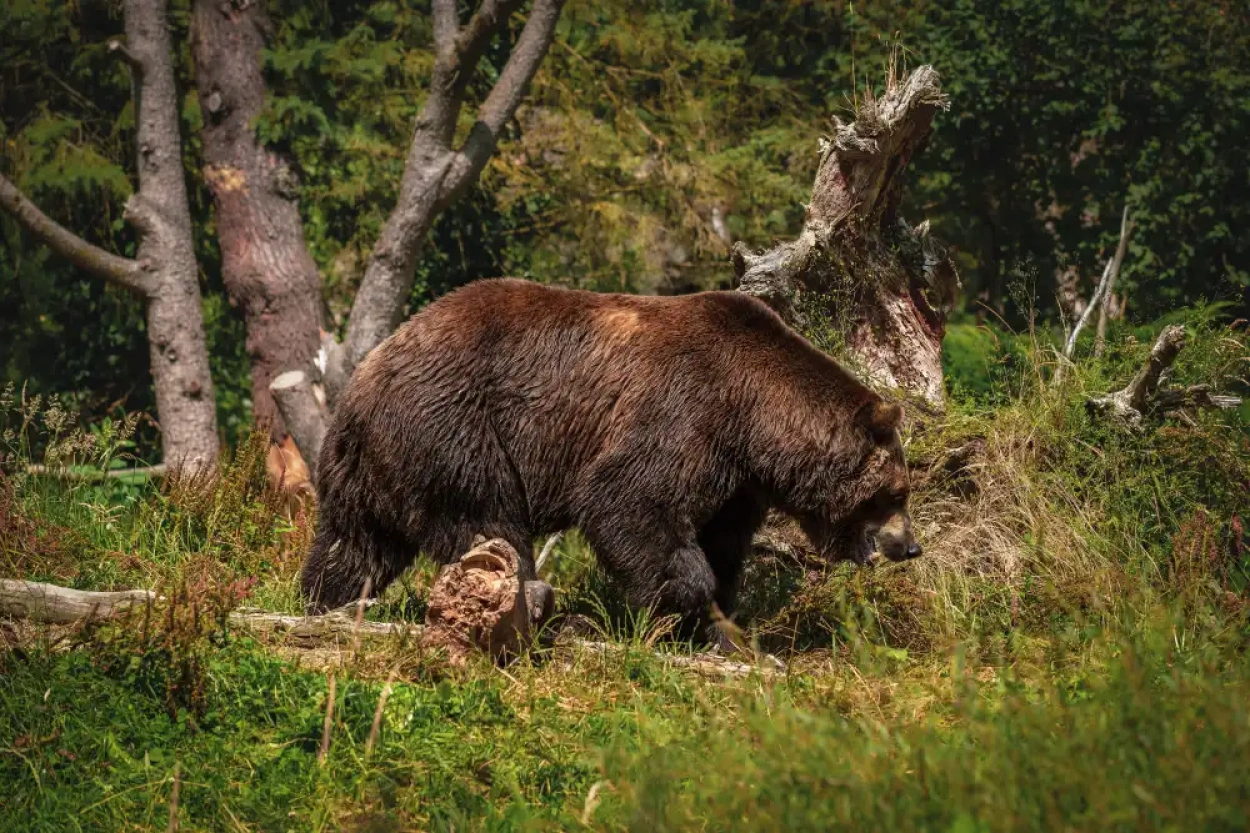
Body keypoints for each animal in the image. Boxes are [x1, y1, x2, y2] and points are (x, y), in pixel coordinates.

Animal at [301, 277, 920, 640]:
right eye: (894, 493)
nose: (909, 546)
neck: (755, 416)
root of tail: (363, 378)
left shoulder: (735, 480)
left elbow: (721, 543)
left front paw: (720, 626)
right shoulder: (686, 408)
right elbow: (629, 499)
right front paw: (676, 606)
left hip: (370, 467)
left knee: (353, 544)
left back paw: (322, 602)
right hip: (453, 427)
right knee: (487, 522)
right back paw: (533, 602)